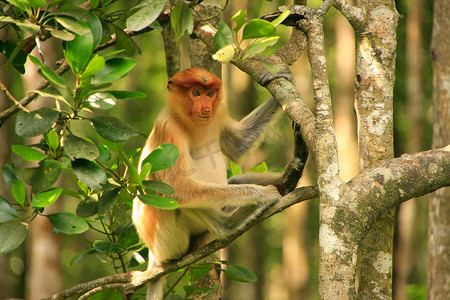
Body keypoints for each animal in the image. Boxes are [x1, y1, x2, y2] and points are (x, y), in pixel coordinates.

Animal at [131, 68, 306, 300]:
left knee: (234, 181)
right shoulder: (167, 127)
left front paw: (278, 76)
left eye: (210, 94)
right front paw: (262, 194)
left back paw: (288, 178)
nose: (205, 108)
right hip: (168, 240)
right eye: (195, 93)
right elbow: (177, 188)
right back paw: (229, 223)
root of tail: (153, 254)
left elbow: (237, 145)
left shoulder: (217, 114)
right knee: (179, 199)